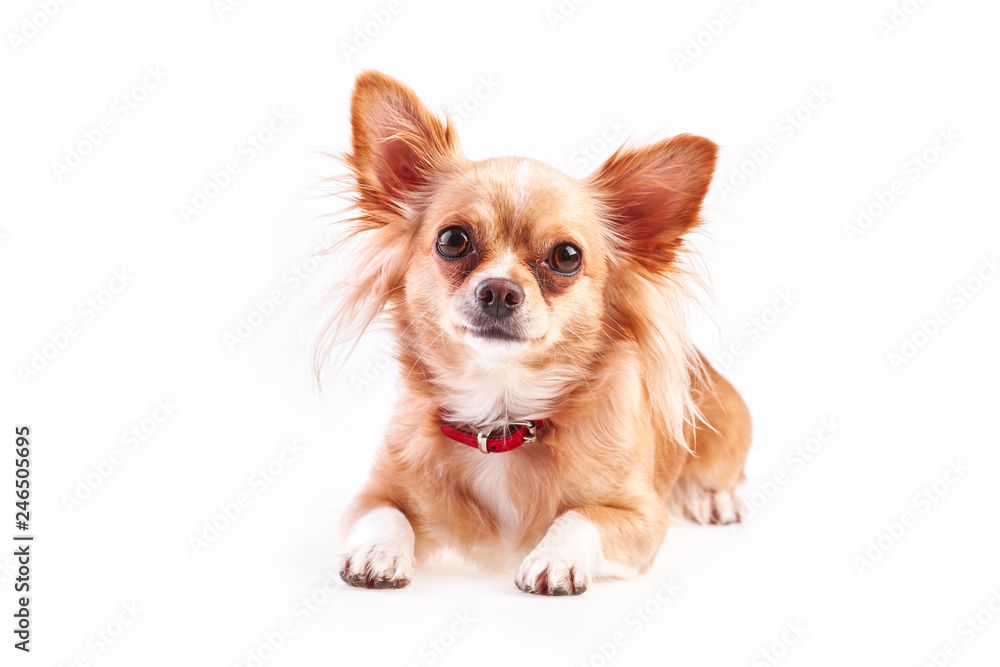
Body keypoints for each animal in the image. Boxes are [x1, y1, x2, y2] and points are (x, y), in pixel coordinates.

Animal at [320, 72, 752, 596]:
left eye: (566, 256)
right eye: (452, 240)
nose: (499, 290)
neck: (502, 418)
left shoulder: (643, 517)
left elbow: (581, 516)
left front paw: (555, 558)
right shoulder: (373, 492)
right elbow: (384, 514)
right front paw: (378, 551)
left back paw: (716, 500)